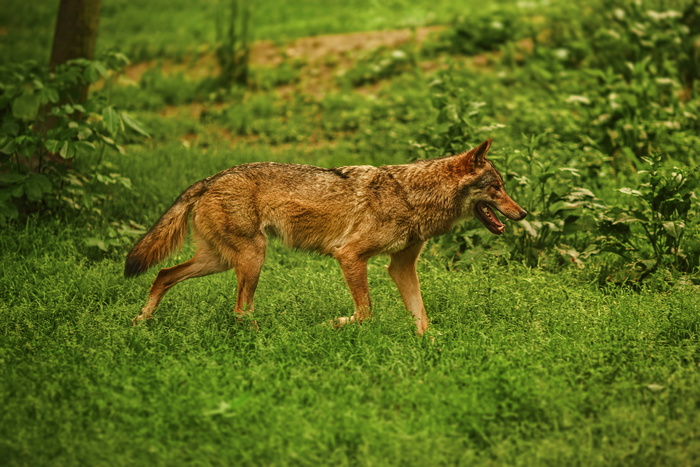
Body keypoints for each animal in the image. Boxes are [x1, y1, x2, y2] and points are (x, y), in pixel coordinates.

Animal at [124, 139, 524, 336]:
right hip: (252, 259)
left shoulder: (401, 267)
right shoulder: (349, 256)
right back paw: (263, 339)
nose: (523, 214)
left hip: (220, 261)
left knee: (164, 275)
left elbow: (422, 317)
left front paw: (432, 349)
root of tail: (210, 179)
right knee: (240, 310)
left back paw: (140, 323)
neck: (413, 196)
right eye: (497, 188)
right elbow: (365, 314)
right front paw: (332, 325)